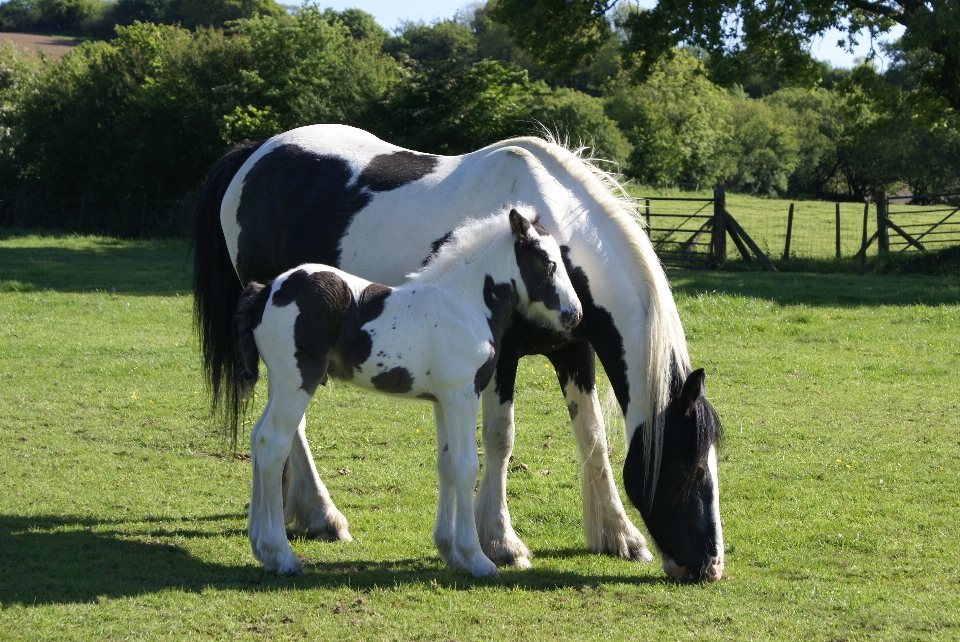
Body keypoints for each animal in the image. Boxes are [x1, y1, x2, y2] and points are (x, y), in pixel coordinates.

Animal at [232, 206, 580, 576]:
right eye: (546, 263)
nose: (575, 314)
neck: (464, 304)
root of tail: (266, 291)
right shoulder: (462, 395)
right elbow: (465, 466)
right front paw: (476, 558)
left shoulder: (442, 401)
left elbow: (446, 465)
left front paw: (451, 552)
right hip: (296, 381)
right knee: (272, 443)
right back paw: (281, 555)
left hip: (279, 381)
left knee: (257, 439)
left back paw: (261, 548)